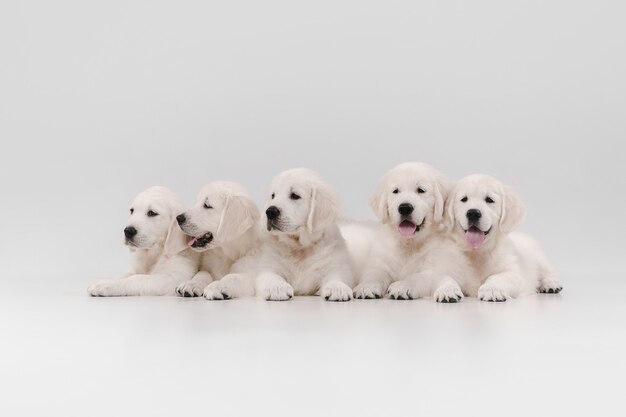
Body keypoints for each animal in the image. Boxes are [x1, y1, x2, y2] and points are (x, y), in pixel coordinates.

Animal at [252, 167, 352, 300]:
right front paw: (277, 288)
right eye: (273, 196)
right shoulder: (268, 266)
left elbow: (336, 276)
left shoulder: (334, 264)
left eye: (295, 196)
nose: (270, 212)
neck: (300, 248)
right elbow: (272, 276)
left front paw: (337, 287)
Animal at [352, 161, 464, 300]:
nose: (405, 208)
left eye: (421, 190)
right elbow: (373, 273)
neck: (409, 244)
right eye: (395, 191)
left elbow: (417, 277)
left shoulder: (434, 266)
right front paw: (366, 287)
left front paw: (403, 286)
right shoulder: (381, 260)